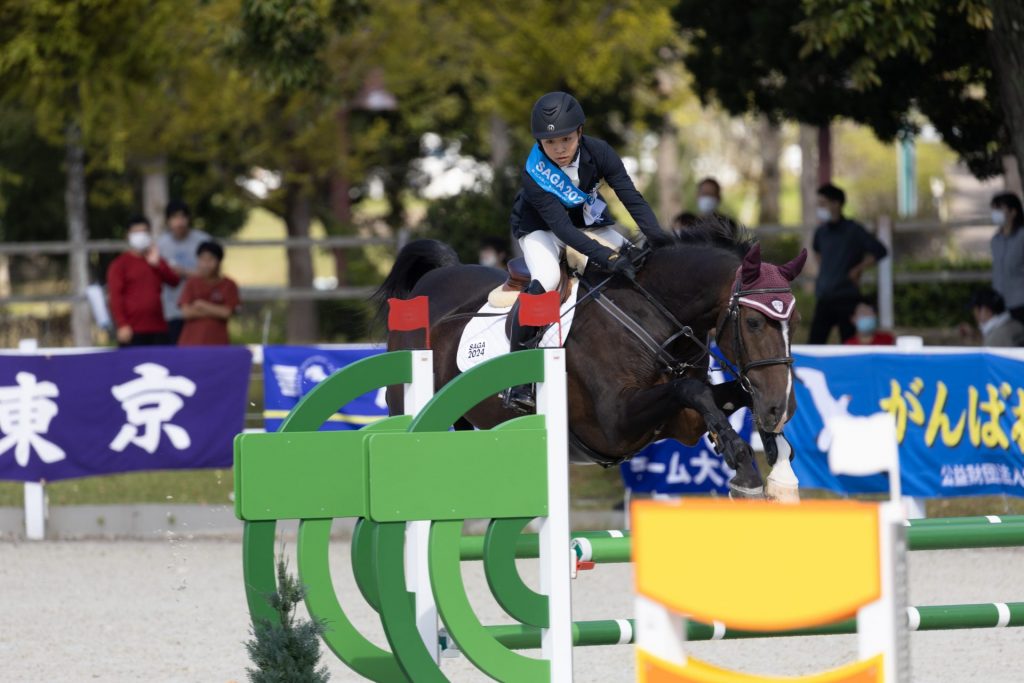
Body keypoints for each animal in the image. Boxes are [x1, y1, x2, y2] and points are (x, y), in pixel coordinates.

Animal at [372, 222, 802, 499]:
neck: (654, 315)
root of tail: (433, 281)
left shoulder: (681, 423)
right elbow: (692, 389)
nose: (780, 409)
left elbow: (717, 396)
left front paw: (777, 460)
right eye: (753, 322)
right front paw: (745, 467)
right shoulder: (614, 425)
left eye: (793, 322)